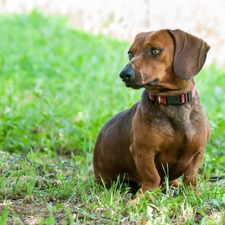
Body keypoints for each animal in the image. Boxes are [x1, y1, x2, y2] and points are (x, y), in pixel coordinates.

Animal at [93, 28, 211, 202]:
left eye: (155, 51)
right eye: (130, 54)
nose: (124, 74)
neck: (172, 102)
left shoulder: (198, 151)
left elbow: (190, 177)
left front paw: (194, 194)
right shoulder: (143, 151)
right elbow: (152, 177)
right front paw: (142, 198)